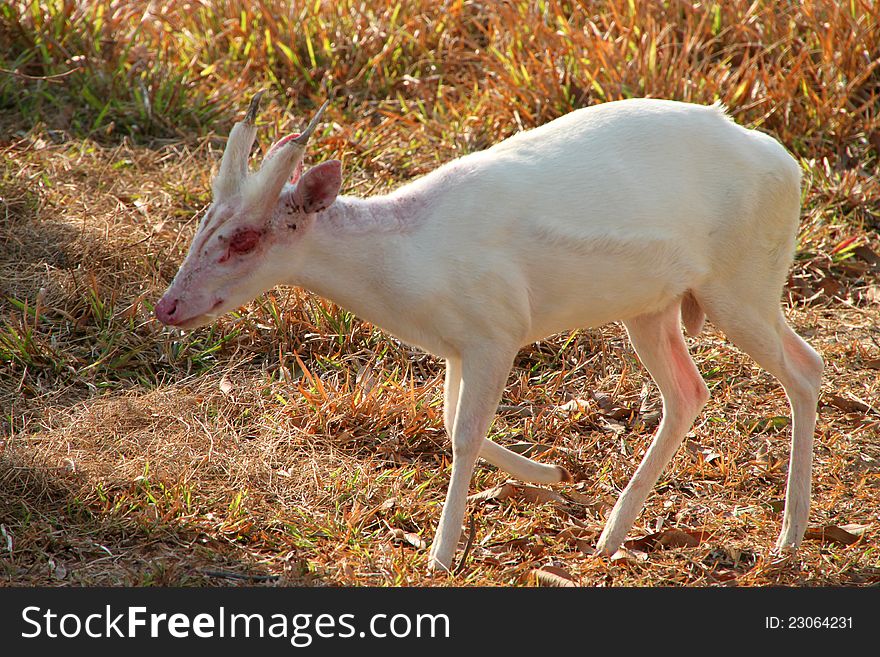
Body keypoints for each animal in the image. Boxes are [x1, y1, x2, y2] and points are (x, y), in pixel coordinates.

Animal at [155, 95, 820, 572]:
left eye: (246, 238)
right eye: (205, 221)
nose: (168, 306)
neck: (406, 261)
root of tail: (788, 164)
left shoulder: (497, 332)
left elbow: (465, 433)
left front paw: (441, 556)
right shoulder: (456, 346)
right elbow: (450, 418)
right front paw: (558, 478)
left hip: (740, 288)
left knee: (804, 366)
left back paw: (787, 538)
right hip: (652, 308)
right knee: (689, 391)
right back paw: (610, 535)